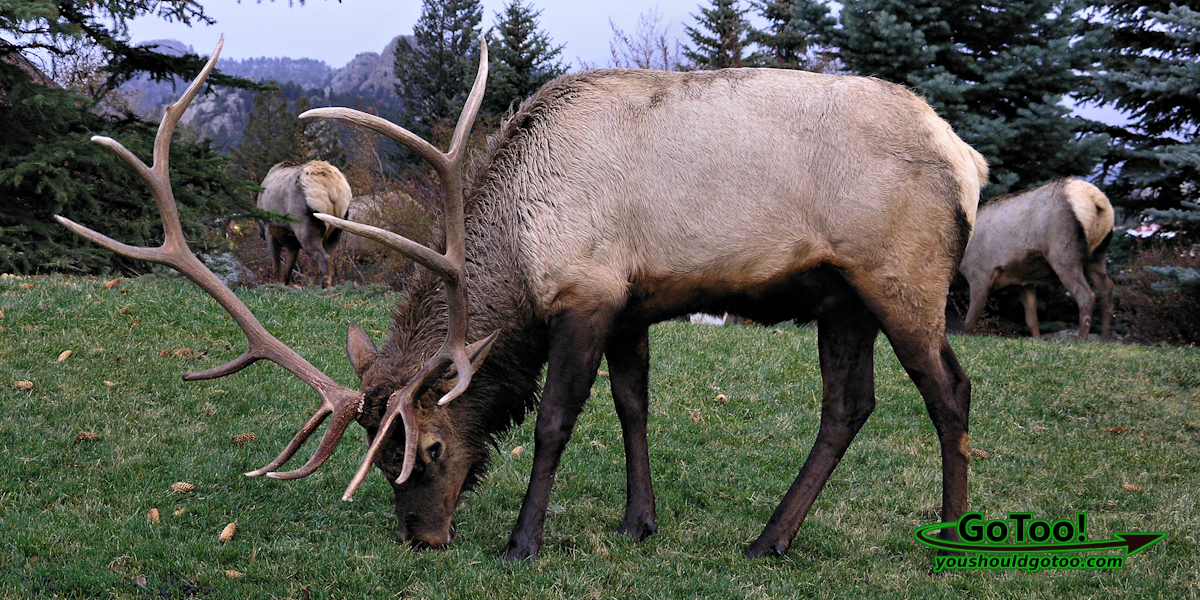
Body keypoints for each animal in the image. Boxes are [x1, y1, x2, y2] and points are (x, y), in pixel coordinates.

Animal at [56, 37, 988, 559]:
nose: (423, 539)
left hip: (901, 276)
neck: (518, 239)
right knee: (849, 406)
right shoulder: (631, 298)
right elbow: (633, 406)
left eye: (428, 450)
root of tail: (967, 158)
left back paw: (948, 531)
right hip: (842, 300)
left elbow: (555, 422)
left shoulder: (584, 294)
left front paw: (522, 541)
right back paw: (769, 538)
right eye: (379, 455)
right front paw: (637, 525)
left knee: (950, 389)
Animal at [955, 175, 1113, 340]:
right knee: (1107, 289)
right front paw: (1037, 338)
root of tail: (1095, 199)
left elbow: (970, 321)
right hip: (1097, 255)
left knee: (1086, 295)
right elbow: (1031, 319)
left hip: (1063, 253)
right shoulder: (1024, 281)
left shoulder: (980, 274)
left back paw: (1082, 339)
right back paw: (1104, 338)